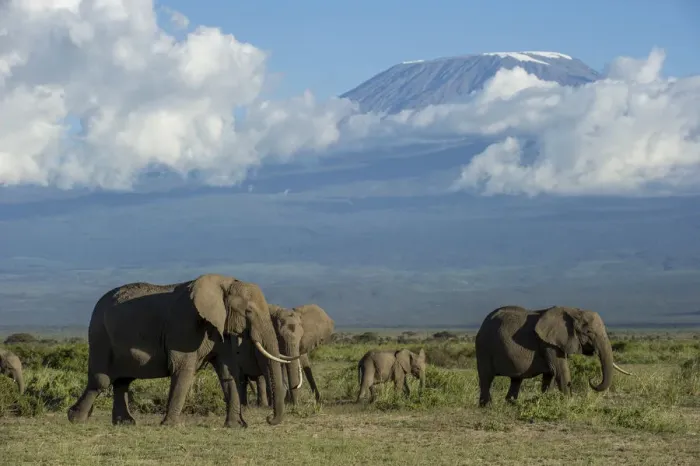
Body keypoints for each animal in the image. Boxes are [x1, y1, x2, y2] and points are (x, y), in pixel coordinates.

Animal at [66, 273, 299, 427]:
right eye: (248, 311)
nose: (269, 419)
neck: (223, 282)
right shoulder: (184, 325)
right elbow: (183, 369)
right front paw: (170, 425)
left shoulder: (219, 326)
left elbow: (228, 371)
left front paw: (235, 426)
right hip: (99, 334)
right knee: (101, 380)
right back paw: (75, 418)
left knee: (123, 381)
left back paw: (125, 423)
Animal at [475, 305, 632, 407]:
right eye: (588, 332)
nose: (591, 379)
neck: (573, 311)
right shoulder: (549, 344)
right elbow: (560, 371)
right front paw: (569, 403)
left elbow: (550, 374)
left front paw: (545, 400)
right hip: (483, 347)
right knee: (486, 377)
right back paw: (486, 406)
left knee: (516, 379)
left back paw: (511, 404)